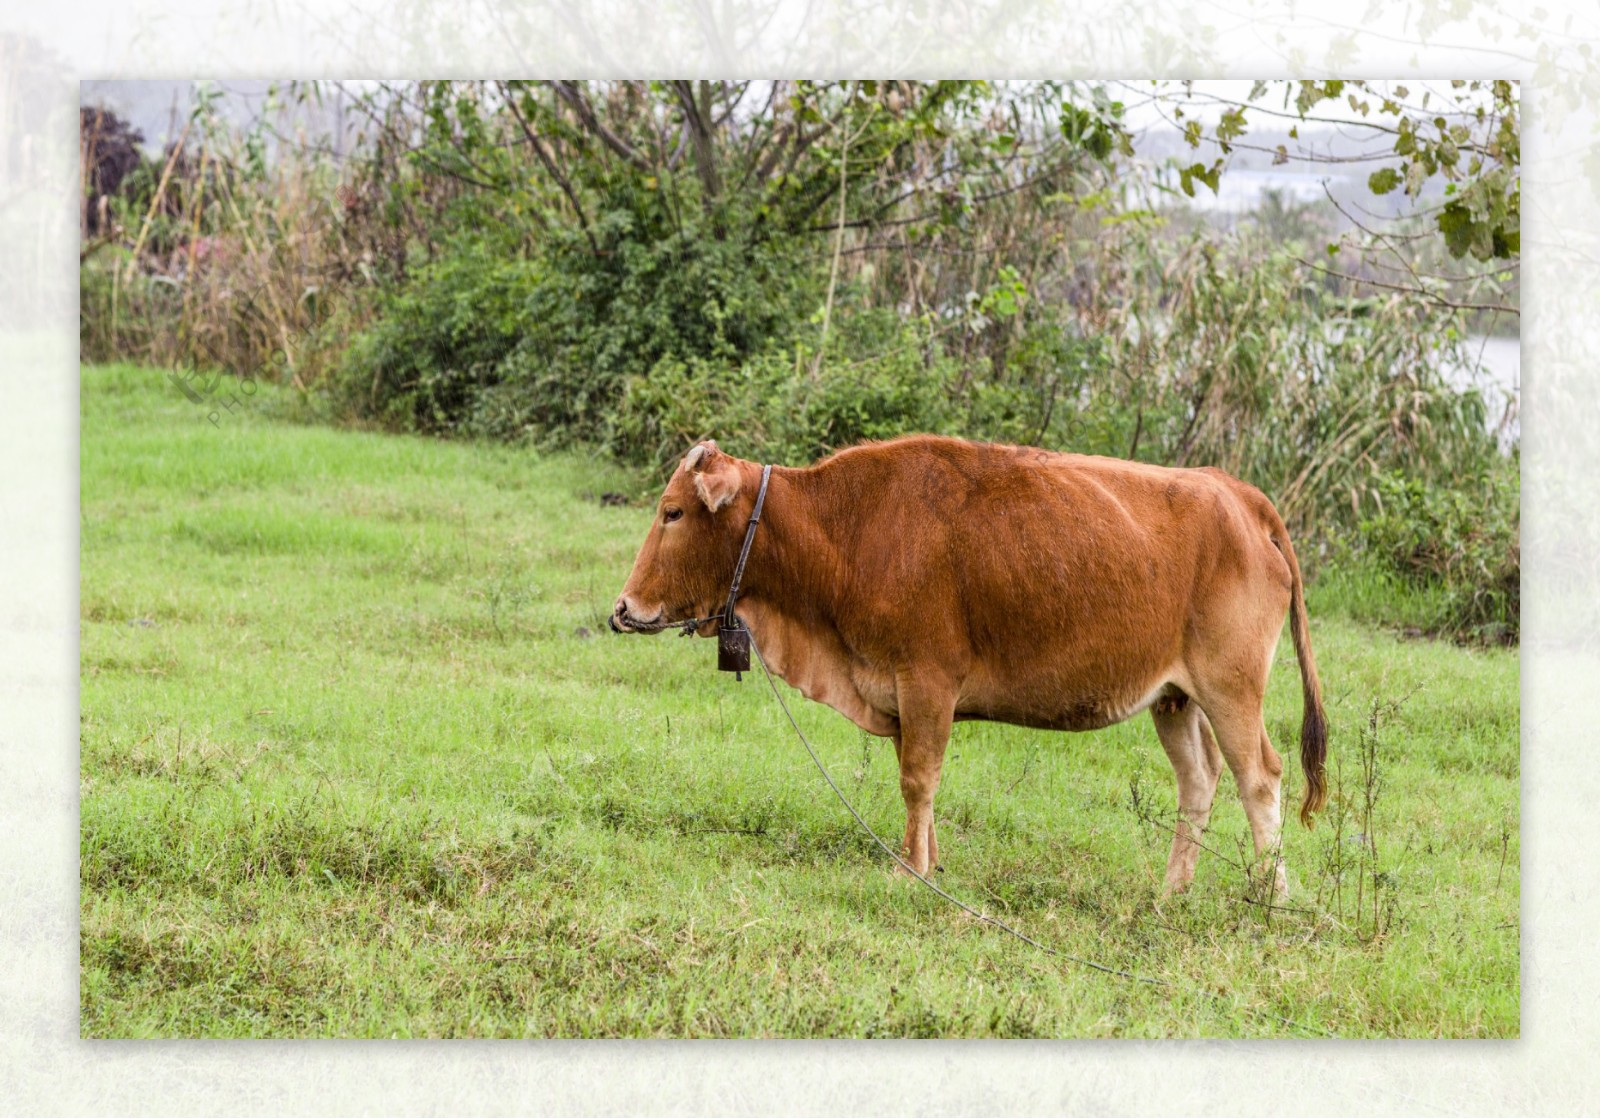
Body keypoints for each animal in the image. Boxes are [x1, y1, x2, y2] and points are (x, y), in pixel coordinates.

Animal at [611, 432, 1324, 896]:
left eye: (672, 512)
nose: (623, 608)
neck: (842, 530)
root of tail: (1237, 493)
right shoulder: (898, 694)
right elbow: (916, 784)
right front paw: (926, 861)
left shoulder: (927, 682)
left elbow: (917, 781)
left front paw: (911, 873)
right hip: (1176, 698)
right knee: (1199, 781)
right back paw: (1172, 892)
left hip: (1231, 688)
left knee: (1260, 777)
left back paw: (1271, 897)